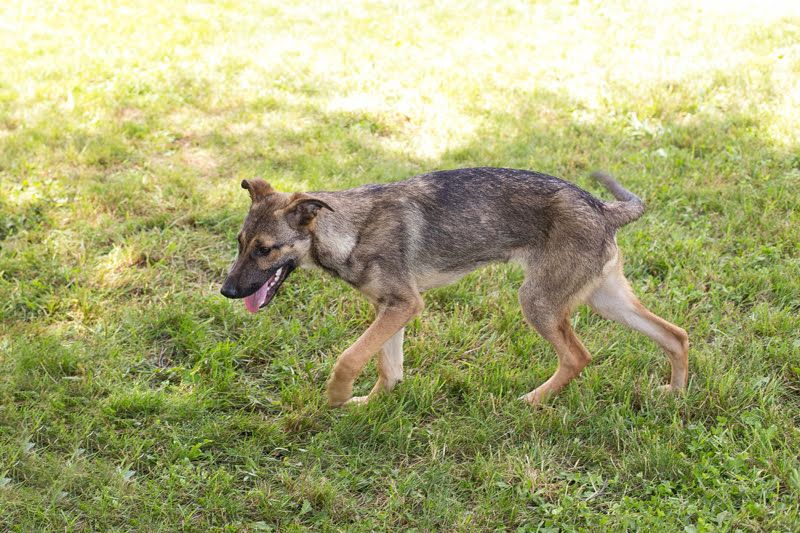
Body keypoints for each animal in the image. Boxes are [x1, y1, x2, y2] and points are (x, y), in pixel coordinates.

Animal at [220, 168, 688, 407]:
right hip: (605, 300)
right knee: (676, 335)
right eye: (240, 244)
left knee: (578, 356)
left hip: (538, 302)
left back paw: (532, 402)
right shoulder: (390, 309)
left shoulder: (405, 305)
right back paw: (675, 394)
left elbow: (349, 358)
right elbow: (388, 370)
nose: (226, 292)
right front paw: (367, 404)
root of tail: (603, 208)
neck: (350, 229)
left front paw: (337, 397)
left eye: (264, 250)